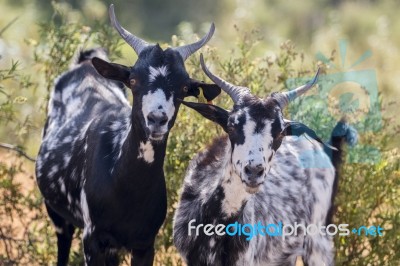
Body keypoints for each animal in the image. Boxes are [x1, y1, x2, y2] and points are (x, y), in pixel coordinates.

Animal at [35, 4, 220, 266]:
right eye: (133, 80)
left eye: (184, 87)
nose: (157, 119)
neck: (123, 187)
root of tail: (84, 64)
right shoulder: (92, 240)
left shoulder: (144, 244)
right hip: (57, 214)